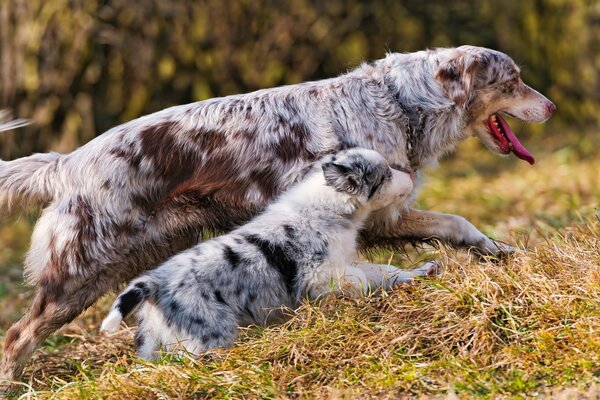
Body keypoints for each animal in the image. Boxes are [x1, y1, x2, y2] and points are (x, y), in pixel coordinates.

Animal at [101, 148, 434, 360]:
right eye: (386, 175)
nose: (410, 177)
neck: (329, 206)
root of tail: (153, 281)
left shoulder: (345, 261)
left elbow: (383, 272)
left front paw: (422, 271)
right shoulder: (319, 275)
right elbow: (359, 280)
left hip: (152, 341)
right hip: (207, 334)